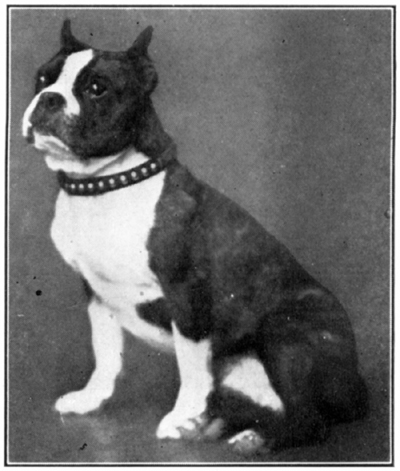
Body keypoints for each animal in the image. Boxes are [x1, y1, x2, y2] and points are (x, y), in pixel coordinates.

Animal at [20, 21, 368, 454]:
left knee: (311, 421)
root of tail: (357, 388)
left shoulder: (186, 295)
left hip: (286, 331)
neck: (104, 183)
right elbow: (106, 353)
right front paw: (91, 398)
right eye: (42, 79)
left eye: (97, 88)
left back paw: (253, 439)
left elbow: (190, 365)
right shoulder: (97, 294)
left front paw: (179, 415)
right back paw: (221, 425)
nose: (48, 98)